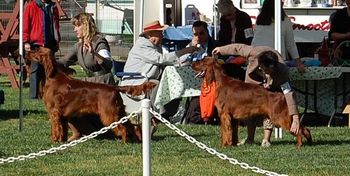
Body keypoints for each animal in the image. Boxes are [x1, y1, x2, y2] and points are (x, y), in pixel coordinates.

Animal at [24, 47, 156, 144]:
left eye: (36, 50)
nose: (26, 52)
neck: (53, 76)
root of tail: (114, 87)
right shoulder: (62, 115)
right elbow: (62, 130)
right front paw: (61, 141)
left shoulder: (54, 112)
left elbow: (56, 128)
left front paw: (54, 141)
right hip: (119, 112)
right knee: (131, 126)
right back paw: (136, 140)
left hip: (109, 114)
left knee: (123, 128)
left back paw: (124, 142)